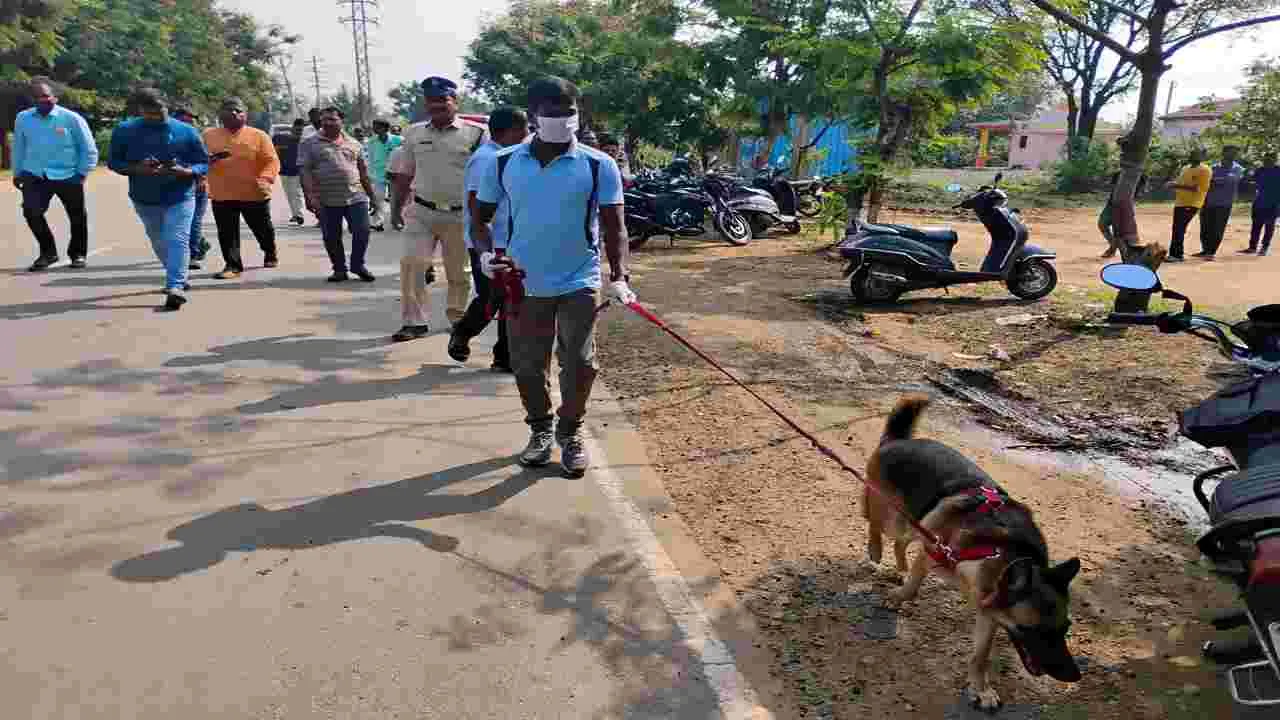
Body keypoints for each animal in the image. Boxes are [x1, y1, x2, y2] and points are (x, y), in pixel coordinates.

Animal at [860, 394, 1080, 707]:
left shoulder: (990, 612)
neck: (996, 551)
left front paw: (981, 688)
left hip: (917, 523)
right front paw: (898, 597)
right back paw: (875, 551)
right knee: (875, 524)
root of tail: (897, 440)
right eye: (1035, 631)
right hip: (893, 514)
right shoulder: (931, 553)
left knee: (900, 542)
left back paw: (899, 567)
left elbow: (980, 655)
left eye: (1065, 628)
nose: (1075, 676)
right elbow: (914, 585)